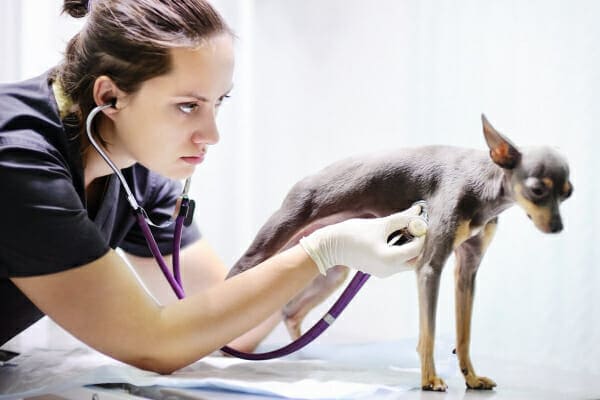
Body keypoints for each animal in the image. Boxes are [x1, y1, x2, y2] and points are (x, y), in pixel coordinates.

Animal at [229, 115, 572, 390]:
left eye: (568, 193)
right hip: (266, 249)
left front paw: (471, 378)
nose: (558, 227)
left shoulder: (467, 272)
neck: (483, 187)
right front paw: (429, 380)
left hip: (329, 270)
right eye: (537, 190)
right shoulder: (430, 267)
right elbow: (428, 333)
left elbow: (464, 334)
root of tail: (306, 179)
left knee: (291, 312)